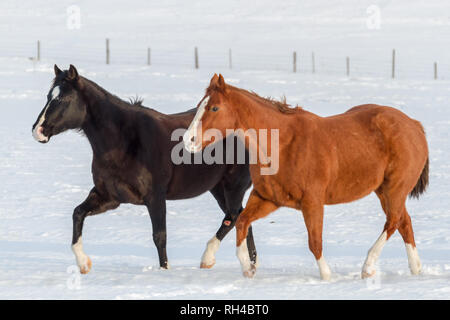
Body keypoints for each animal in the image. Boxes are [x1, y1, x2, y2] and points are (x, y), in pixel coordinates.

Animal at [31, 64, 256, 272]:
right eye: (49, 96)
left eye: (63, 99)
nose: (38, 131)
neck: (125, 142)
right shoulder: (110, 197)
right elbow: (77, 213)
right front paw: (84, 264)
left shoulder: (155, 197)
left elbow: (159, 236)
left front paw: (165, 271)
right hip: (218, 189)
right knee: (242, 219)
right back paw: (250, 265)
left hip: (233, 186)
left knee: (234, 217)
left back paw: (209, 259)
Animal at [185, 74, 428, 278]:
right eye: (198, 106)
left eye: (214, 107)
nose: (188, 140)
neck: (283, 145)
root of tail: (414, 125)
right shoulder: (268, 199)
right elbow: (241, 222)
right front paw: (247, 267)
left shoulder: (312, 202)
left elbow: (315, 242)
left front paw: (327, 276)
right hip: (383, 191)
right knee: (404, 222)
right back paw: (416, 269)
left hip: (394, 188)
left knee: (393, 221)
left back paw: (368, 267)